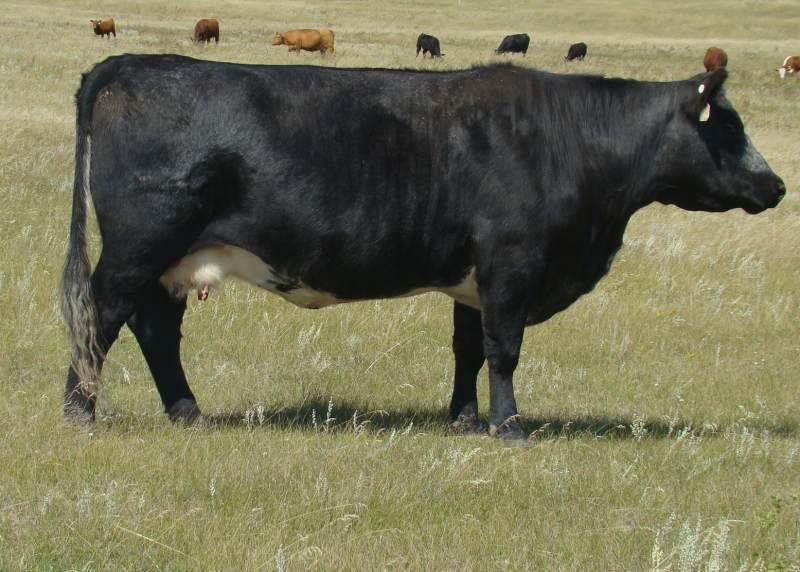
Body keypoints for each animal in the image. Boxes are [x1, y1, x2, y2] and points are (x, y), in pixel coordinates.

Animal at [62, 55, 785, 440]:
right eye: (730, 127)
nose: (777, 185)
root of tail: (132, 63)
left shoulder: (475, 278)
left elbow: (469, 349)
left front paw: (464, 419)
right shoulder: (511, 264)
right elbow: (504, 349)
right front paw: (509, 427)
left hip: (169, 261)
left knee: (154, 331)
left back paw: (187, 413)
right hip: (138, 248)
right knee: (100, 318)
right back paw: (79, 413)